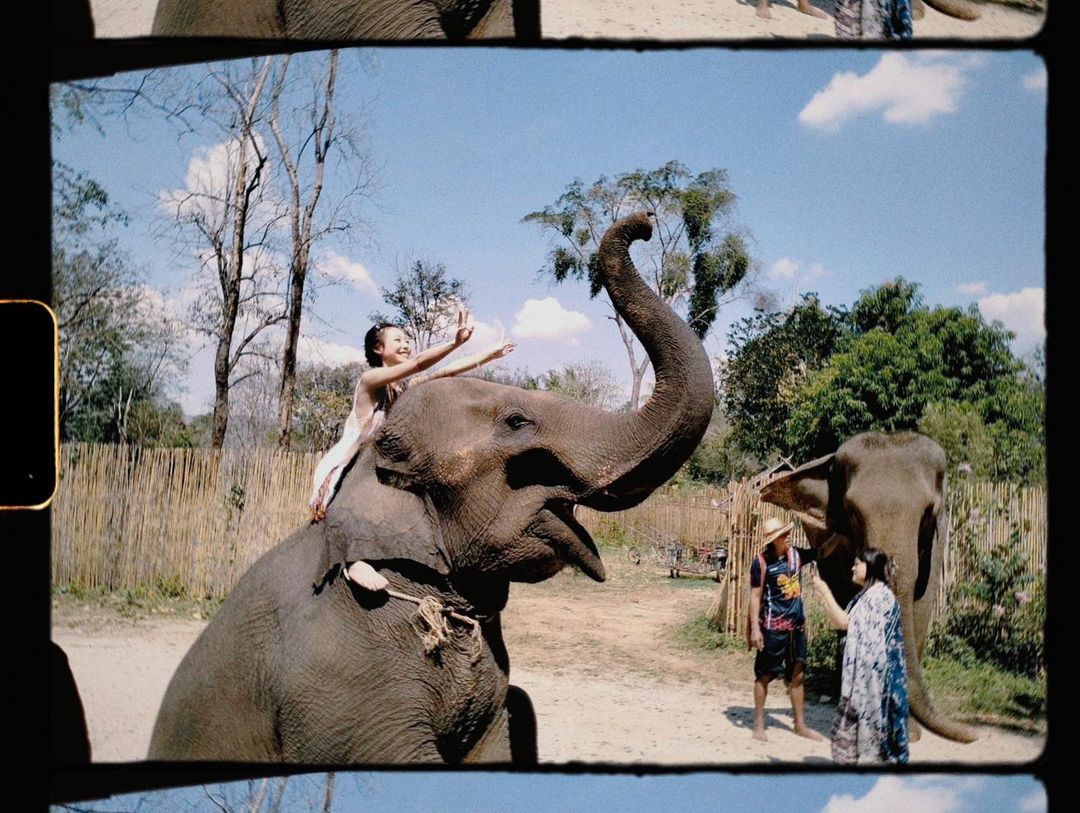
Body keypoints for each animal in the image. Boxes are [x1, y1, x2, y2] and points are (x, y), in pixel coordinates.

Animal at [760, 431, 980, 742]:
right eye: (852, 512)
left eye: (928, 511)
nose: (974, 733)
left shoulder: (937, 540)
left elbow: (921, 606)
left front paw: (907, 729)